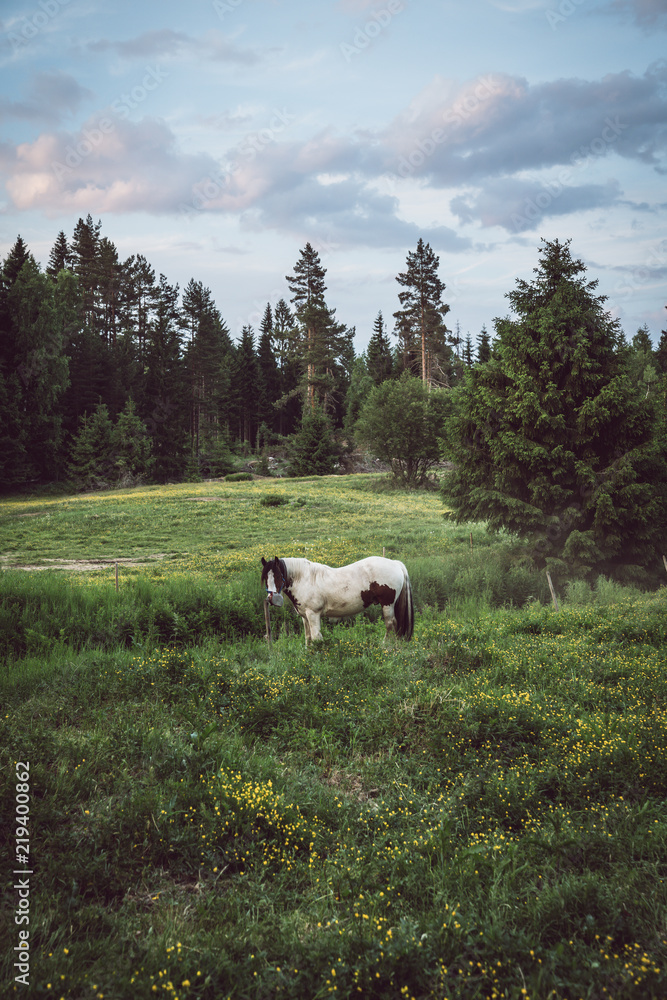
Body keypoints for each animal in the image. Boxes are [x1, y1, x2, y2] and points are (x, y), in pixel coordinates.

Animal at [260, 555, 414, 646]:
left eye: (278, 575)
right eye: (265, 577)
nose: (272, 599)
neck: (305, 579)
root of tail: (395, 563)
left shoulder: (313, 614)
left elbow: (316, 637)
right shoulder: (305, 616)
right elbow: (308, 638)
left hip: (387, 605)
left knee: (390, 624)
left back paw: (386, 646)